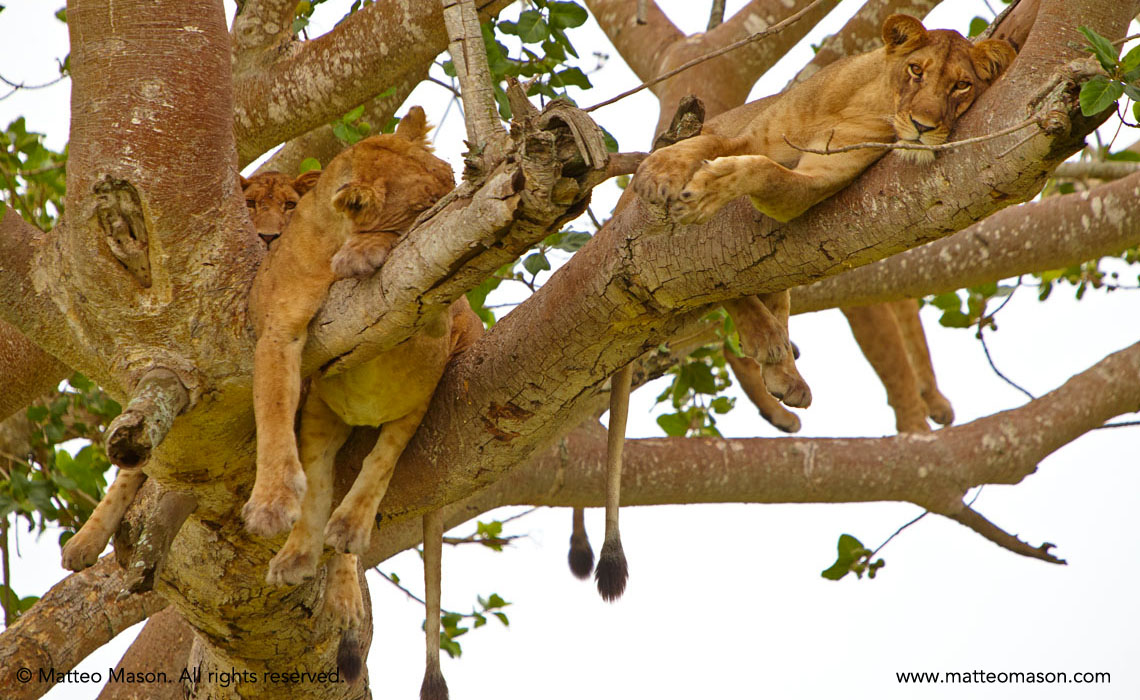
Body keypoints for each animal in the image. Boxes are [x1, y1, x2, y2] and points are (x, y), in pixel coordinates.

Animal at [242, 107, 481, 697]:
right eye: (427, 203)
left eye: (451, 179)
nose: (461, 205)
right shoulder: (278, 335)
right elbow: (272, 410)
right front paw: (271, 503)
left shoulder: (428, 319)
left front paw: (362, 253)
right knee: (323, 474)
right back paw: (302, 551)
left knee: (382, 458)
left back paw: (348, 528)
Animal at [588, 15, 1015, 600]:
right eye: (915, 70)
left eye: (962, 86)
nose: (923, 127)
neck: (862, 99)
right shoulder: (743, 133)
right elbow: (708, 146)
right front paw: (665, 173)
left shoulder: (819, 183)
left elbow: (766, 172)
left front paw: (710, 185)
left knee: (751, 295)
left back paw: (781, 368)